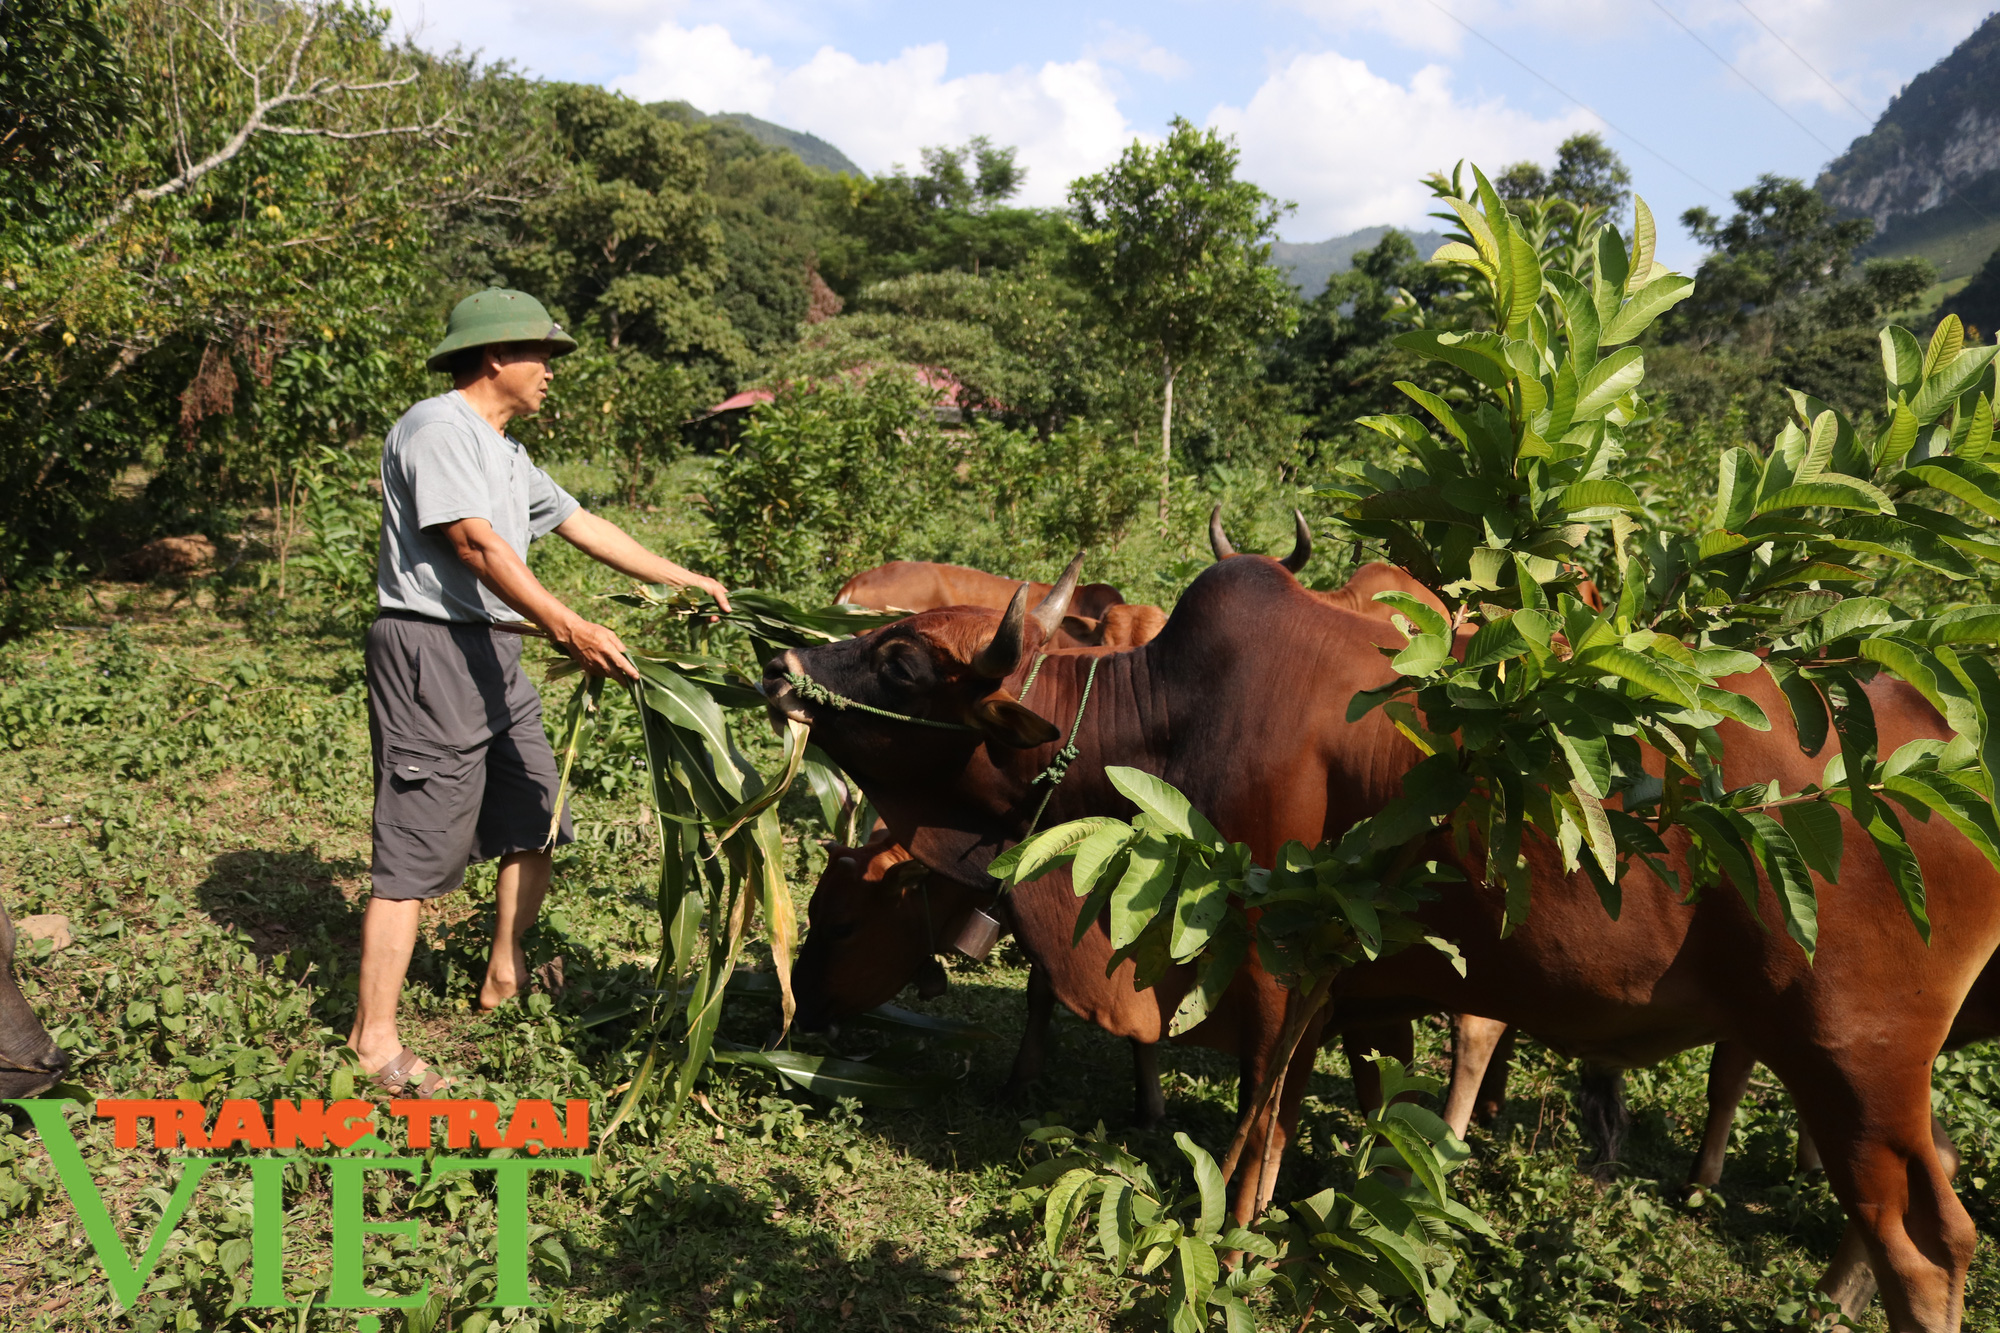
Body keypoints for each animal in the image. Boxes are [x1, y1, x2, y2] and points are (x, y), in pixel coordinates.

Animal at [764, 548, 2000, 1320]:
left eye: (901, 664)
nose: (781, 663)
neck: (1156, 718)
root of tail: (1947, 759)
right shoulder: (1341, 988)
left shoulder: (1268, 965)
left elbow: (1253, 1139)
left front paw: (1235, 1249)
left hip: (1855, 1060)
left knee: (1928, 1244)